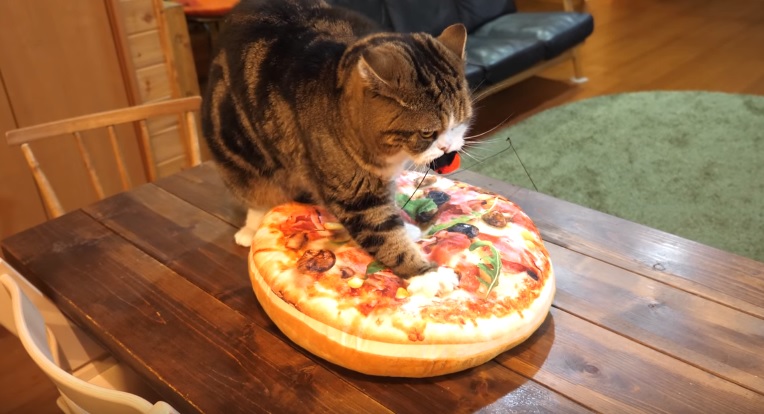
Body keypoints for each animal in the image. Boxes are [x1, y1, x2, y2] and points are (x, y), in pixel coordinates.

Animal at [203, 0, 474, 278]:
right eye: (427, 133)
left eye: (461, 122)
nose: (448, 147)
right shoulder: (356, 196)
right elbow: (384, 234)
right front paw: (429, 275)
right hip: (239, 155)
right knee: (255, 194)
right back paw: (249, 230)